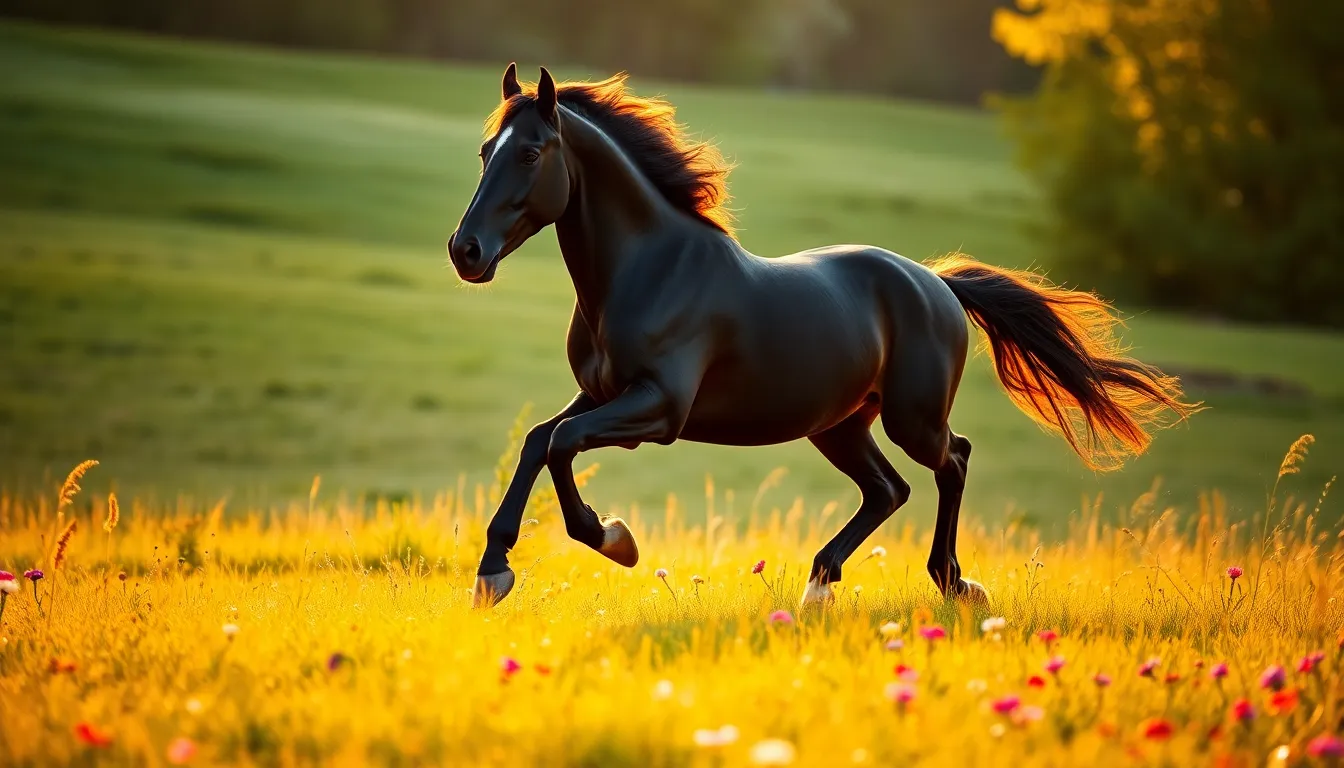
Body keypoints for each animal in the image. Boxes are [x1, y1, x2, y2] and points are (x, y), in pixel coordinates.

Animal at [448, 64, 1197, 609]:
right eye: (485, 151)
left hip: (911, 418)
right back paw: (820, 584)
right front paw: (493, 571)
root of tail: (937, 284)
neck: (651, 270)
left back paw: (953, 582)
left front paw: (613, 539)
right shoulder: (601, 392)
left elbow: (563, 444)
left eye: (533, 152)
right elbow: (541, 439)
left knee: (952, 461)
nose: (466, 251)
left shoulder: (659, 408)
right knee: (888, 490)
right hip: (839, 426)